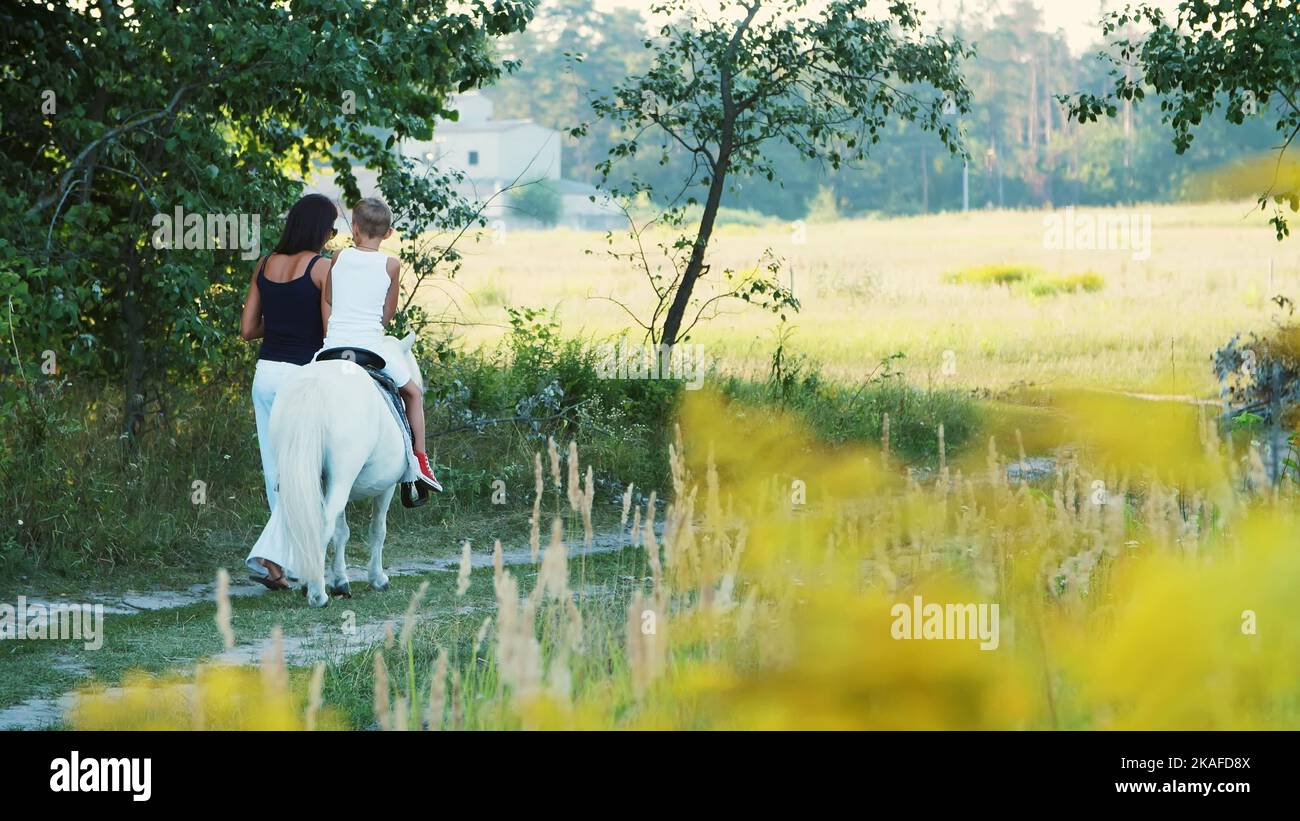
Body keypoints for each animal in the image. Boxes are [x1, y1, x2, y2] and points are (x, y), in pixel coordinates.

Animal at [267, 329, 421, 605]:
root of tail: (314, 386)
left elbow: (341, 532)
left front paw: (340, 581)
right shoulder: (386, 487)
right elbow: (377, 530)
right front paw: (377, 579)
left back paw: (308, 582)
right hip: (342, 479)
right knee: (322, 525)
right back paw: (317, 593)